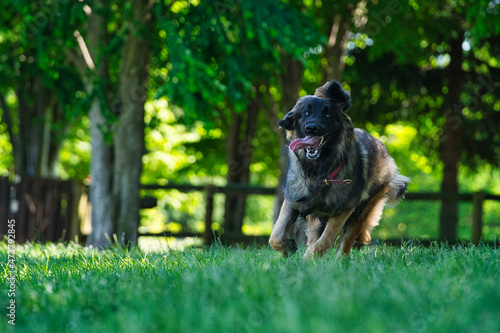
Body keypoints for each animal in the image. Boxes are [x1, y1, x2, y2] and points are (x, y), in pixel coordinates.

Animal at [270, 80, 410, 256]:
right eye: (306, 113)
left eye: (327, 115)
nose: (311, 128)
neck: (319, 170)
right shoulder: (293, 200)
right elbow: (275, 237)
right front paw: (288, 248)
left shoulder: (343, 209)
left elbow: (324, 242)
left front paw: (310, 257)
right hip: (317, 218)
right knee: (313, 239)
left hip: (361, 211)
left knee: (346, 244)